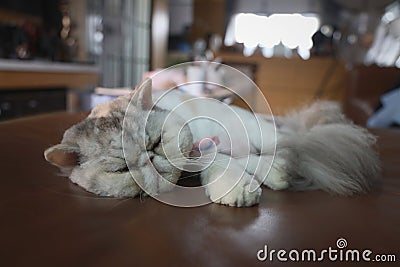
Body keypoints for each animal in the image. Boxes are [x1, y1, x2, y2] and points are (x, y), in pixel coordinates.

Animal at [44, 78, 382, 208]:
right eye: (121, 170)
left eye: (155, 143)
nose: (151, 160)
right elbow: (230, 165)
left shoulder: (205, 147)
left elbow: (223, 165)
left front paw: (238, 192)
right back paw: (278, 173)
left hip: (261, 131)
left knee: (286, 146)